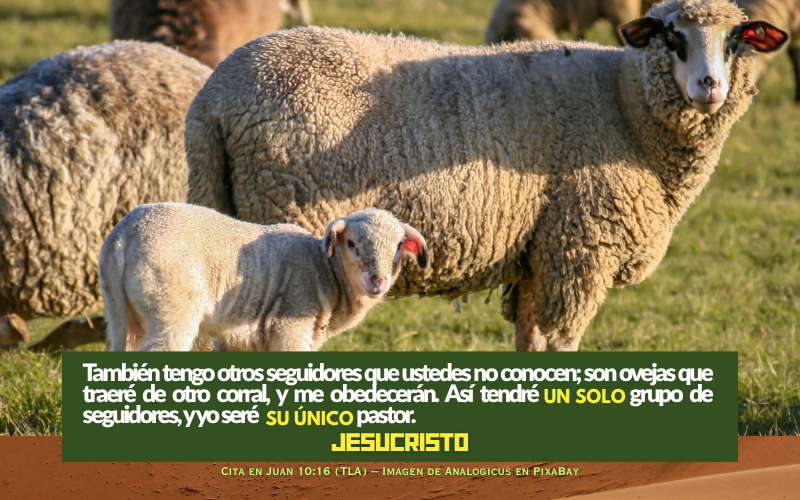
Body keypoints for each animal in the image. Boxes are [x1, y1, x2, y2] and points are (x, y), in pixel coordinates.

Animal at [99, 204, 429, 351]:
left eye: (399, 246)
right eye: (351, 244)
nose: (378, 280)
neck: (328, 274)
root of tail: (124, 235)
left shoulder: (239, 339)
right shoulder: (290, 326)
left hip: (121, 312)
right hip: (170, 308)